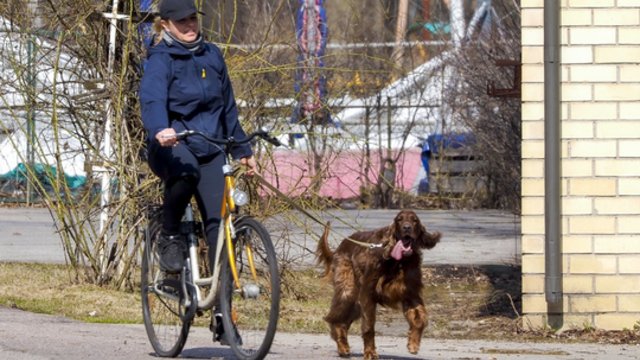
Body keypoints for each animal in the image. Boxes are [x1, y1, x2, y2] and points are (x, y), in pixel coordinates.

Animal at [316, 210, 440, 358]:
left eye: (414, 220)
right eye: (399, 220)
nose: (407, 227)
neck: (398, 261)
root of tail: (340, 247)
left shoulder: (410, 294)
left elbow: (420, 319)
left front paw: (413, 344)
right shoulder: (368, 293)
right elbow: (369, 327)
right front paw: (370, 353)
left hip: (356, 303)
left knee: (343, 320)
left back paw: (343, 346)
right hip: (348, 291)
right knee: (335, 318)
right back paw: (342, 347)